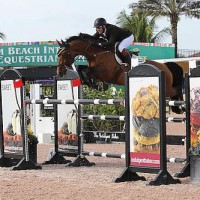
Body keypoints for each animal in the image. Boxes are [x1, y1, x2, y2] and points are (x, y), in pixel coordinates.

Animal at [56, 32, 184, 114]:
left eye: (64, 54)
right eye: (58, 54)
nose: (60, 72)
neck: (96, 54)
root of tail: (165, 66)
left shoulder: (106, 73)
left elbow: (88, 70)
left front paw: (92, 83)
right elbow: (80, 68)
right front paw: (88, 82)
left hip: (166, 88)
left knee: (177, 90)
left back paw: (181, 106)